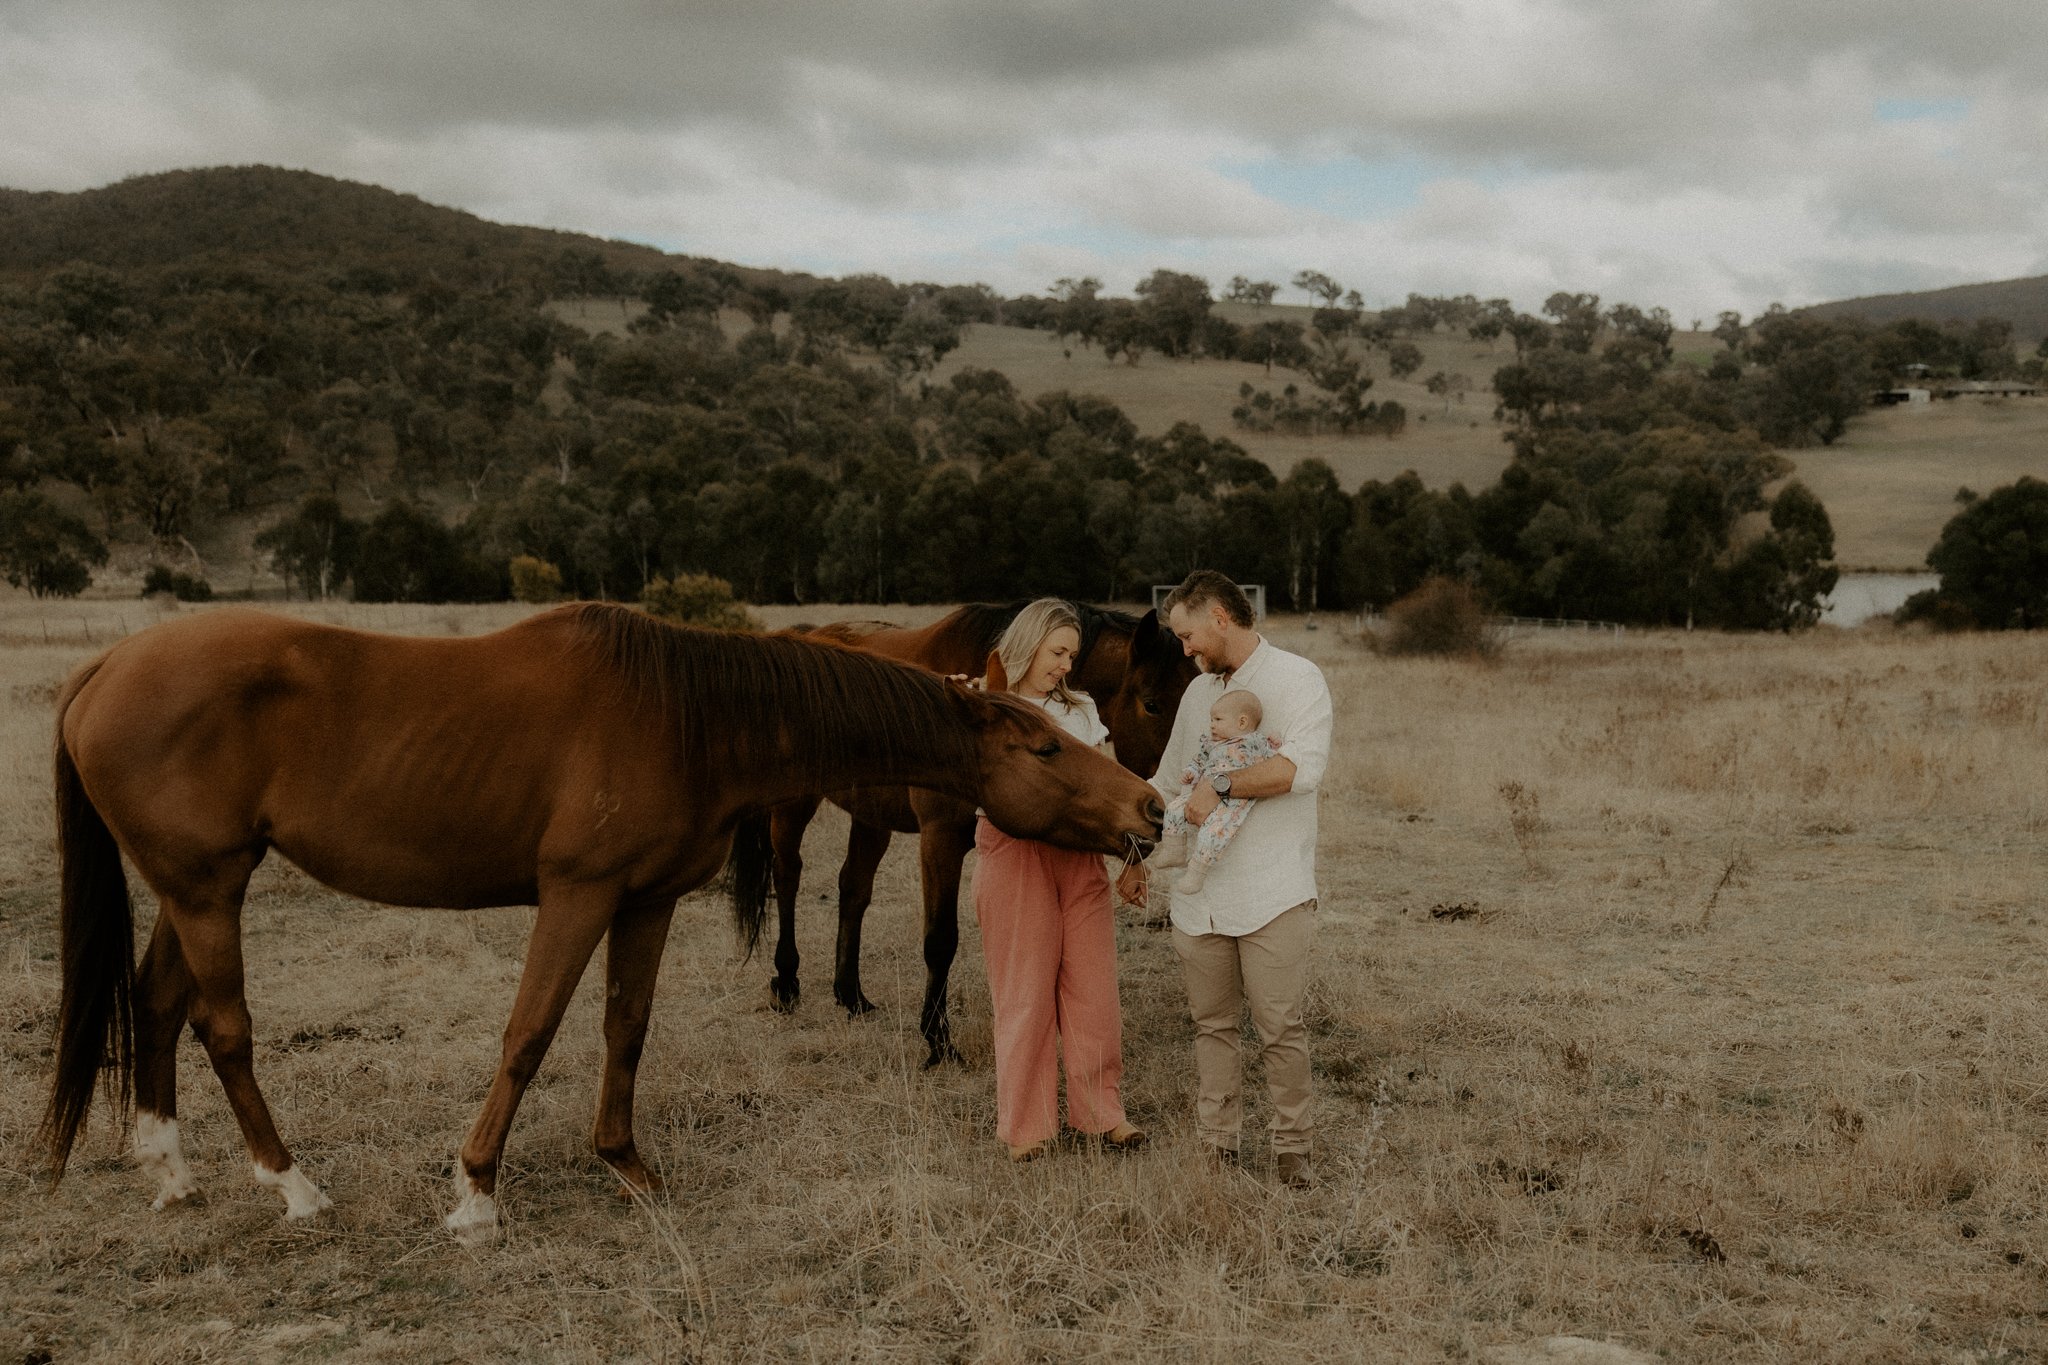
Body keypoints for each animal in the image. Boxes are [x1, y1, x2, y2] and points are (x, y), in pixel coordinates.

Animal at [764, 602, 1197, 1066]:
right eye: (1152, 705)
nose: (1167, 805)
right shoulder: (940, 837)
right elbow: (940, 940)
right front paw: (938, 1041)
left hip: (871, 815)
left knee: (853, 889)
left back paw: (851, 995)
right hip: (795, 803)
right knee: (787, 877)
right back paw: (786, 983)